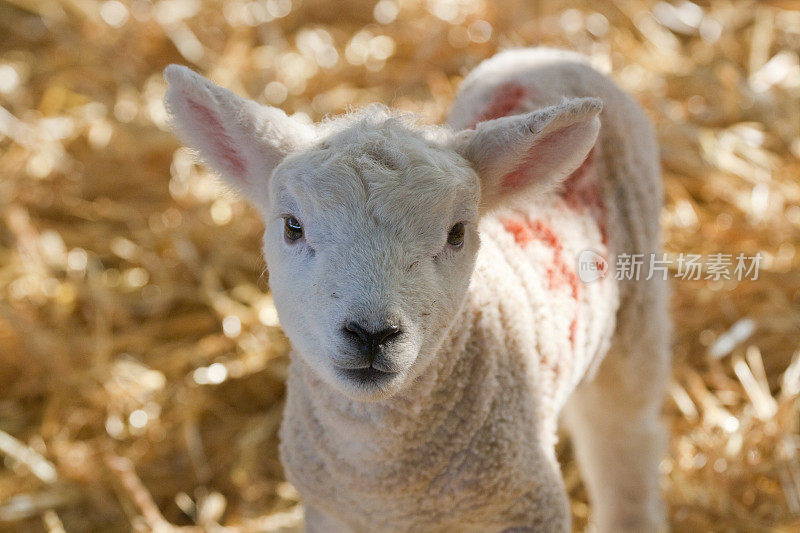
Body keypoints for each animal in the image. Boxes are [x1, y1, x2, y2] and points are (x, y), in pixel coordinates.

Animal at [162, 47, 668, 528]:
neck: (388, 486)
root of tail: (548, 55)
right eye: (292, 226)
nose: (372, 334)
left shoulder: (528, 504)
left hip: (637, 322)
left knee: (626, 440)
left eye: (457, 233)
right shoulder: (331, 512)